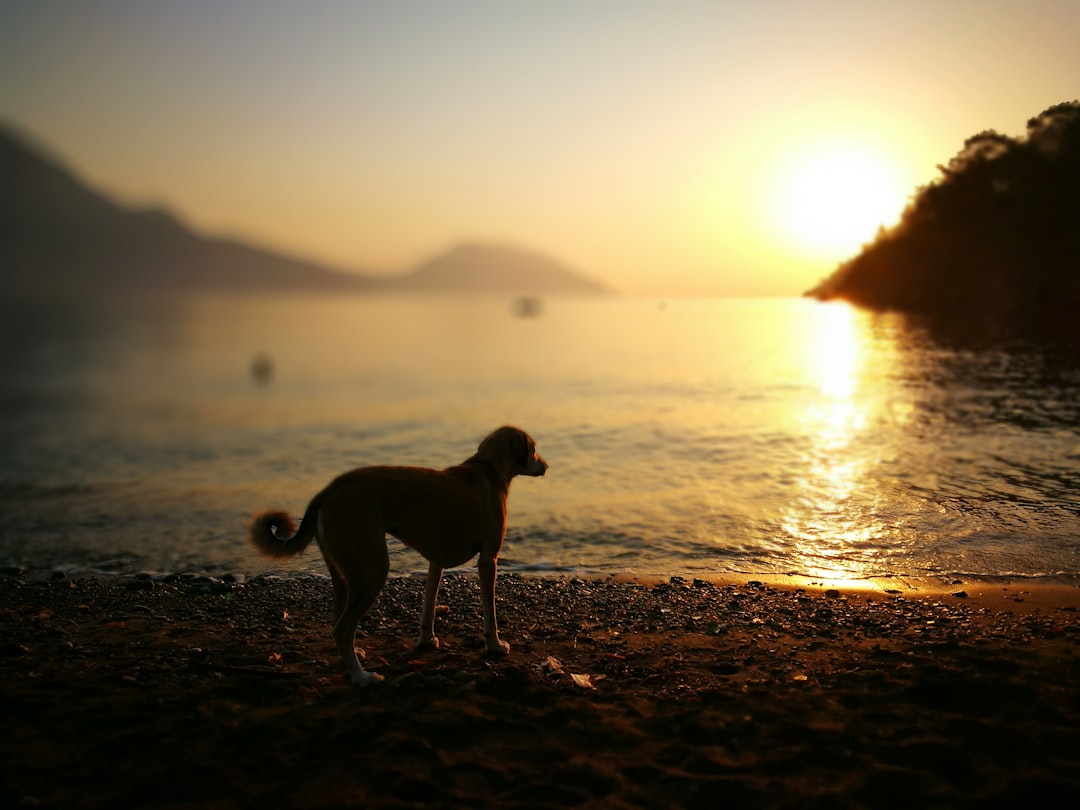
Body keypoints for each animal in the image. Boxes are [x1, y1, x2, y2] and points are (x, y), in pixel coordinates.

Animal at [247, 427, 544, 686]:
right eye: (534, 448)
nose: (546, 465)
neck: (488, 468)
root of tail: (330, 490)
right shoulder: (488, 560)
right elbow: (489, 613)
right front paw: (494, 645)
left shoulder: (435, 561)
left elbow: (428, 606)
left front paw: (427, 640)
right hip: (372, 571)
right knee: (342, 629)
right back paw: (361, 677)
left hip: (344, 574)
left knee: (336, 622)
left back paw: (353, 659)